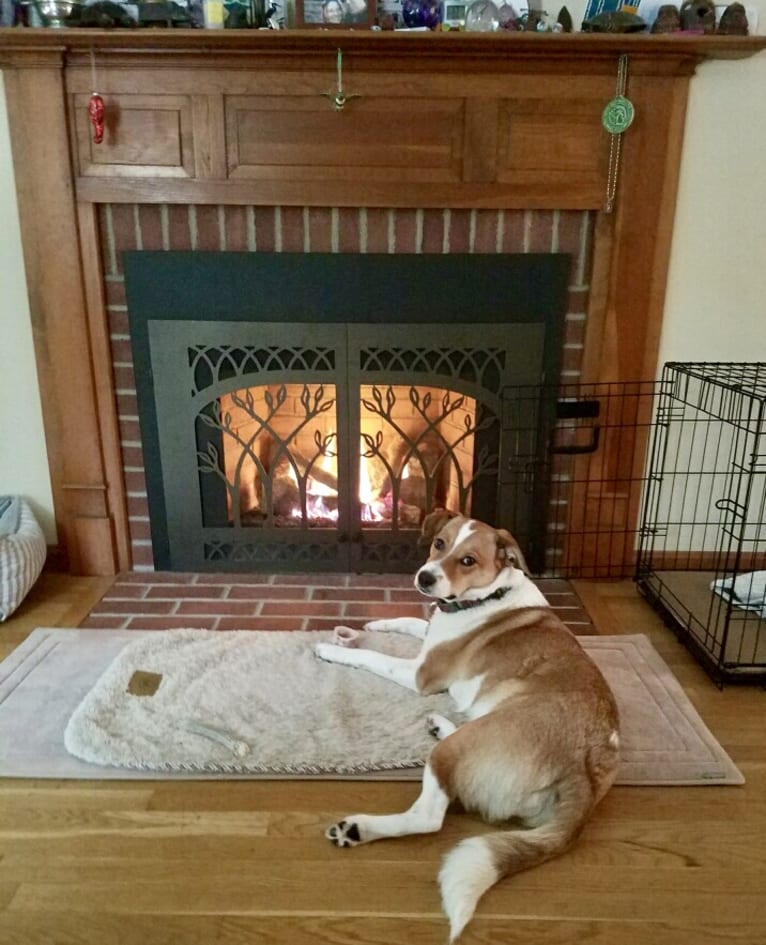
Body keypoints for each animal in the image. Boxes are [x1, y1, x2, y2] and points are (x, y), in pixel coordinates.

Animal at [316, 512, 620, 940]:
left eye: (468, 561)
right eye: (439, 544)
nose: (425, 578)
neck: (486, 597)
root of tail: (584, 768)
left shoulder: (419, 674)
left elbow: (371, 657)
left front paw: (333, 648)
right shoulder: (428, 631)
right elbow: (413, 620)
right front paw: (376, 622)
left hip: (451, 756)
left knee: (427, 818)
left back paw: (359, 829)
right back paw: (441, 724)